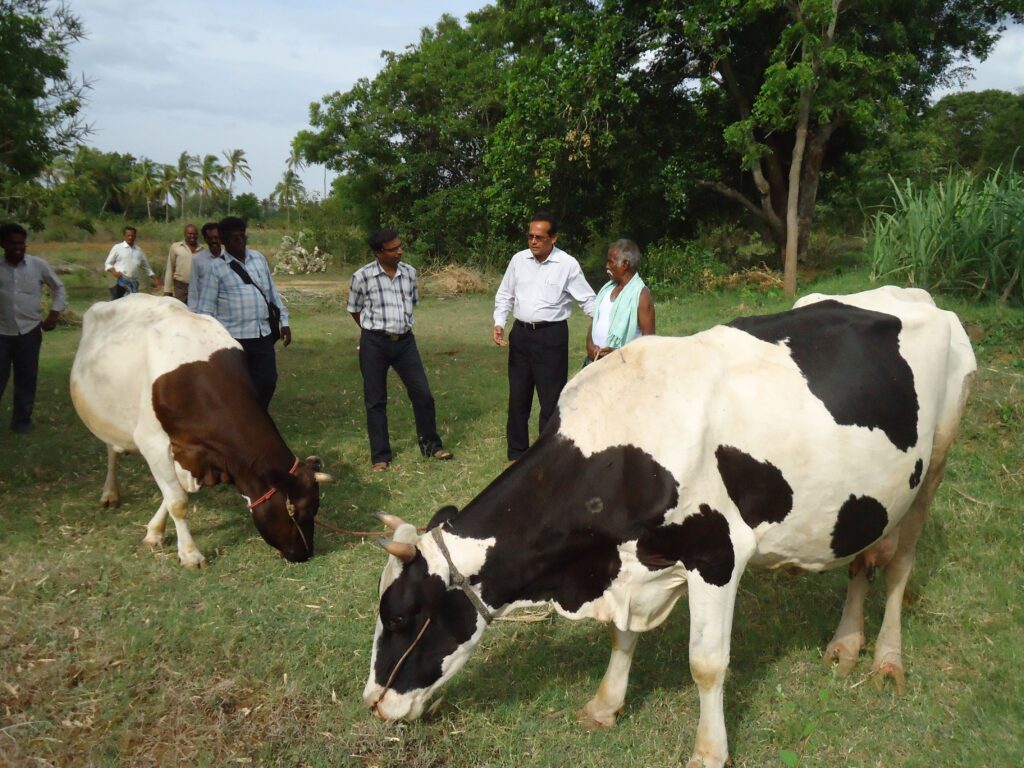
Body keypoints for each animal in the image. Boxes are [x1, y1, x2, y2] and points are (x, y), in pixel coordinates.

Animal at [71, 296, 331, 569]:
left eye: (316, 507)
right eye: (297, 509)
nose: (305, 554)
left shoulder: (192, 454)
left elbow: (175, 493)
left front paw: (154, 532)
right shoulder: (153, 443)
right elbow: (177, 501)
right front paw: (190, 554)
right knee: (112, 450)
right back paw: (109, 493)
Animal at [362, 286, 974, 768]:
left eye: (401, 616)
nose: (373, 702)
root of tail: (915, 295)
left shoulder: (717, 554)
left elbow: (706, 664)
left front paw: (709, 751)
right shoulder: (631, 562)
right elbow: (622, 635)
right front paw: (605, 704)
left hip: (936, 463)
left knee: (898, 564)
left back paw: (886, 660)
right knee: (863, 558)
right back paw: (846, 644)